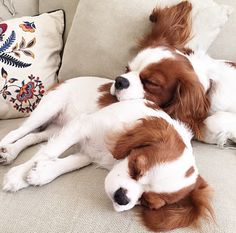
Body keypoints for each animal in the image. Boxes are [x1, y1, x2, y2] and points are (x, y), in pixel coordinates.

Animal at [0, 1, 213, 231]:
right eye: (136, 168)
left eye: (148, 202)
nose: (122, 198)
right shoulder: (82, 127)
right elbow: (47, 153)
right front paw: (18, 175)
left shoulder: (88, 151)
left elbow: (64, 163)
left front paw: (39, 174)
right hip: (49, 108)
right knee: (19, 131)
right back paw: (7, 146)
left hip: (58, 127)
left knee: (35, 137)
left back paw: (10, 152)